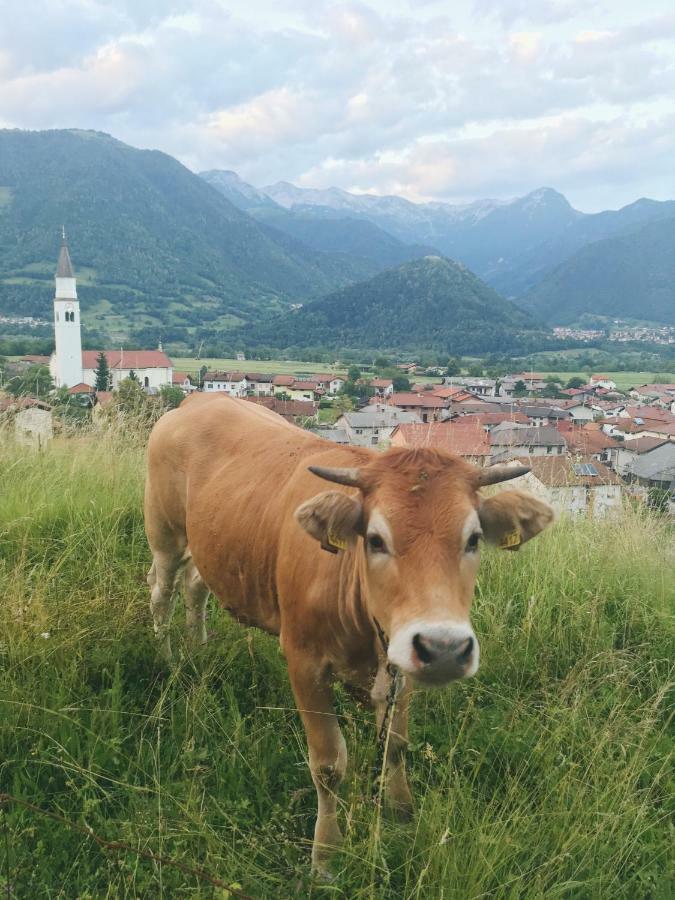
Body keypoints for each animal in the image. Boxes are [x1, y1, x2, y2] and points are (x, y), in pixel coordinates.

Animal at [144, 394, 556, 872]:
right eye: (375, 539)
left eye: (472, 539)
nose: (445, 649)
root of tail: (200, 399)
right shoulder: (303, 662)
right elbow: (327, 764)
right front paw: (326, 853)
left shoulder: (402, 659)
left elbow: (395, 745)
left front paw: (401, 813)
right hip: (164, 533)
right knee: (161, 591)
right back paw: (168, 658)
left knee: (195, 588)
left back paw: (198, 651)